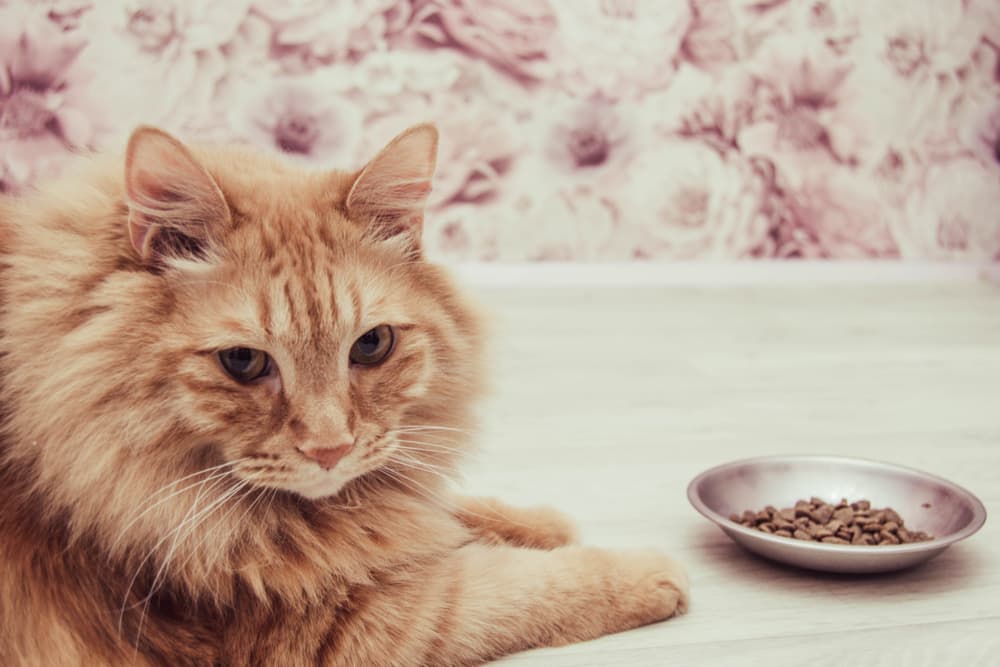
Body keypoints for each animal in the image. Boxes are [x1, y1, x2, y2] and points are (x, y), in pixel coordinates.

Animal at [0, 126, 688, 667]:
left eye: (372, 345)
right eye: (244, 362)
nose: (331, 449)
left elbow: (447, 508)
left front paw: (541, 522)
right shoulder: (352, 623)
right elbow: (515, 589)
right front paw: (643, 572)